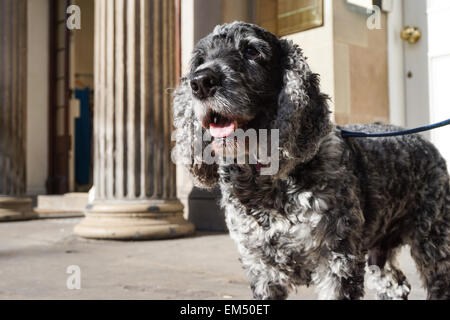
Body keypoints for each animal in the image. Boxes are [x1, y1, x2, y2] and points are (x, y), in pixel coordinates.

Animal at [171, 21, 450, 298]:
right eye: (199, 61)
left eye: (251, 51)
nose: (201, 82)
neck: (265, 183)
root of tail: (422, 140)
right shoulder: (260, 266)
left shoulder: (337, 259)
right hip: (380, 246)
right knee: (394, 282)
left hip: (433, 239)